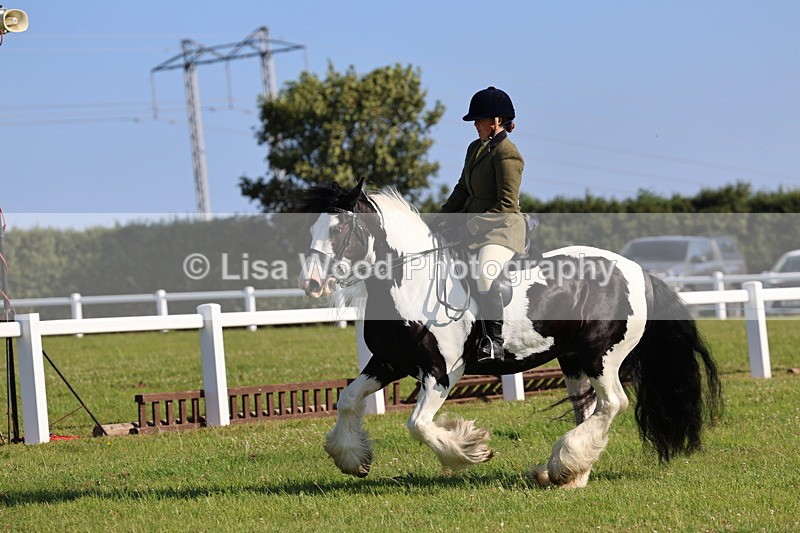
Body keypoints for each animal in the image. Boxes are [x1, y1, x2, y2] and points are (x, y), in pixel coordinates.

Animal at [296, 178, 722, 488]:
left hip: (601, 357)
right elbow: (348, 400)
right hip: (573, 360)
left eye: (340, 229)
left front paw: (472, 449)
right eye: (313, 227)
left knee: (613, 403)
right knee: (590, 410)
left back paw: (564, 466)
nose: (311, 284)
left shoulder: (441, 372)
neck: (411, 284)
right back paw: (569, 474)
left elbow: (418, 425)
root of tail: (638, 272)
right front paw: (353, 460)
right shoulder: (388, 362)